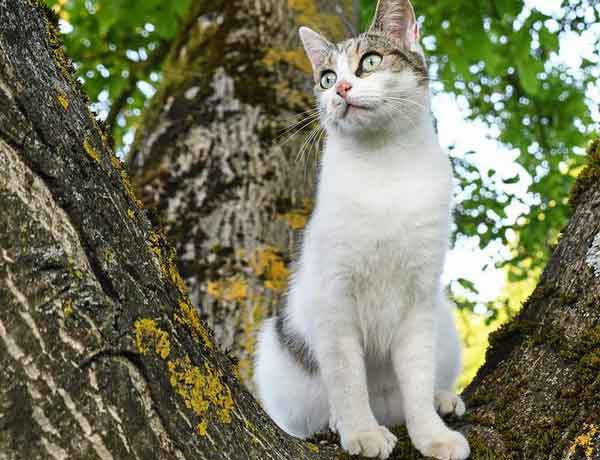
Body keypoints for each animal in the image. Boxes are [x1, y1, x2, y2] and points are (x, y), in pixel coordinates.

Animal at [253, 0, 468, 460]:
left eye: (369, 62)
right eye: (326, 77)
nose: (341, 90)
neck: (385, 166)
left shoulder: (419, 298)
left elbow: (417, 380)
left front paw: (433, 436)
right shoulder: (333, 297)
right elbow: (348, 378)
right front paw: (362, 433)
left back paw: (443, 399)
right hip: (275, 351)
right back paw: (341, 422)